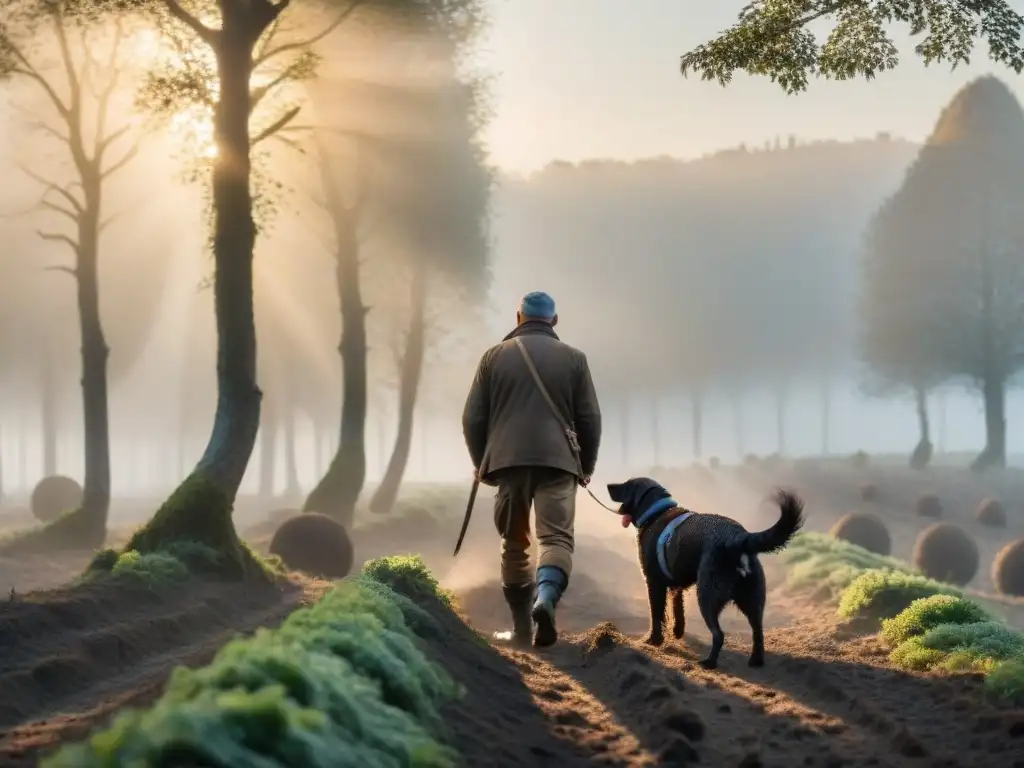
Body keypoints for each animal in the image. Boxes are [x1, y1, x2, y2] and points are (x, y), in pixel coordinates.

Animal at [606, 479, 798, 671]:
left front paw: (653, 641)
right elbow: (677, 610)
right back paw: (756, 661)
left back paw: (709, 662)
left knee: (719, 634)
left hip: (707, 596)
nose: (609, 485)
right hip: (752, 600)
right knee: (758, 631)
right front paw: (677, 632)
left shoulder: (654, 583)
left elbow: (656, 615)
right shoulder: (675, 586)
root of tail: (738, 536)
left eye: (627, 485)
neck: (656, 512)